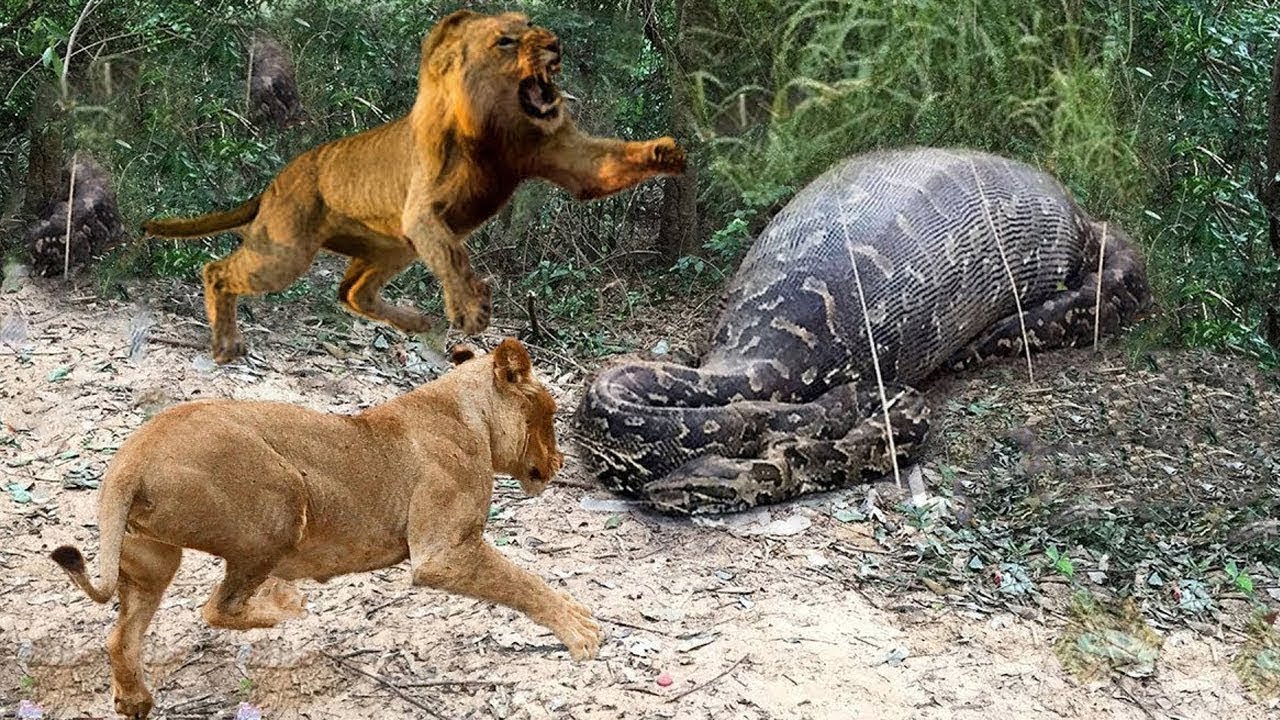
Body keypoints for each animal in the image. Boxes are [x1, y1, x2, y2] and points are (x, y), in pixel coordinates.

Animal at [49, 337, 601, 719]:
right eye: (552, 413)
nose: (561, 462)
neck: (467, 412)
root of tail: (133, 455)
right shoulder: (441, 553)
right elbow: (521, 580)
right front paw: (580, 629)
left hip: (153, 555)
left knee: (122, 636)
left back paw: (135, 700)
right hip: (282, 500)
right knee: (217, 607)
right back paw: (285, 606)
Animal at [143, 10, 687, 363]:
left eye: (533, 27)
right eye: (506, 41)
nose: (554, 44)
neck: (501, 129)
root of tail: (277, 179)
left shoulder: (566, 158)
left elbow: (608, 165)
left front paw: (667, 152)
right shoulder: (423, 211)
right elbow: (453, 256)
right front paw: (472, 308)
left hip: (391, 248)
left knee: (350, 293)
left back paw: (415, 321)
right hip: (287, 251)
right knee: (217, 269)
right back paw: (227, 345)